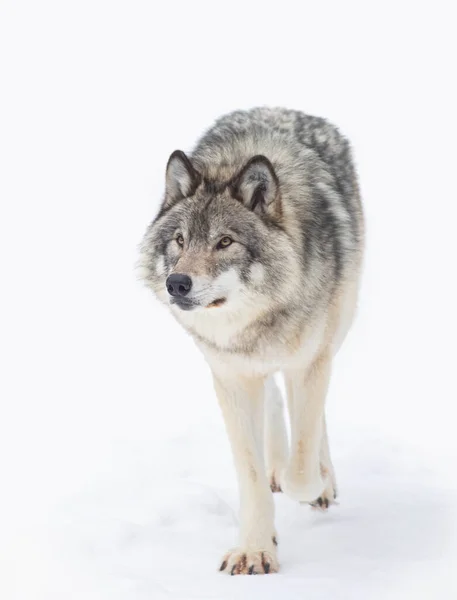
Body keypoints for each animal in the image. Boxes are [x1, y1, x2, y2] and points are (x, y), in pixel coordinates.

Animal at [138, 108, 364, 576]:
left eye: (225, 241)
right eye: (180, 240)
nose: (177, 283)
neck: (256, 321)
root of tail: (283, 109)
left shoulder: (308, 363)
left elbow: (303, 467)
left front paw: (315, 483)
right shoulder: (231, 377)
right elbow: (253, 476)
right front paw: (255, 549)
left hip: (335, 332)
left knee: (310, 416)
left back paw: (322, 478)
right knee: (276, 402)